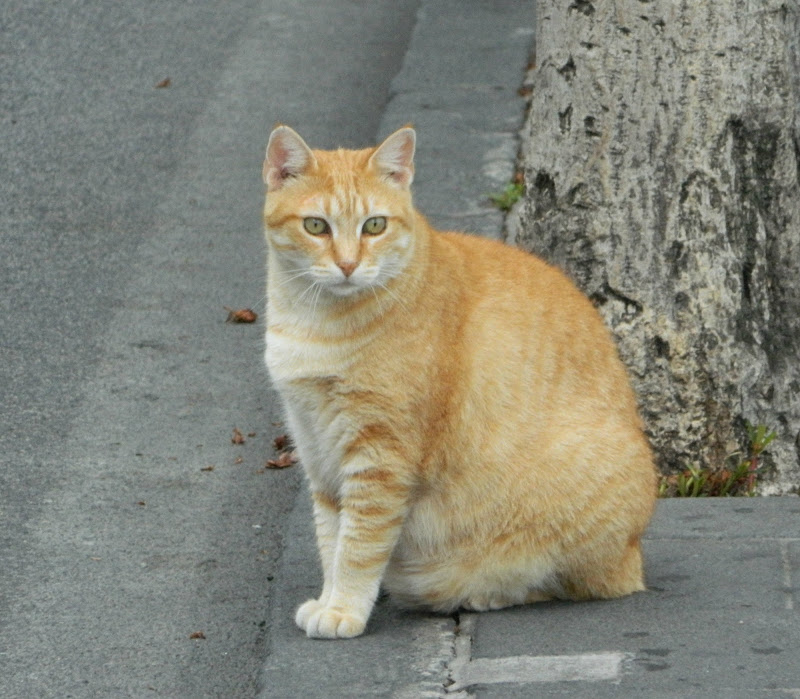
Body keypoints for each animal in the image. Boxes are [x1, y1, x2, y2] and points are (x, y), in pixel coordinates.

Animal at [260, 124, 656, 640]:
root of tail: (635, 556)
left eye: (374, 226)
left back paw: (480, 592)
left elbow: (358, 545)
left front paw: (344, 608)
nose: (347, 265)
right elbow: (332, 537)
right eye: (315, 227)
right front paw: (331, 598)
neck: (316, 320)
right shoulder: (316, 447)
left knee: (568, 582)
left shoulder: (381, 457)